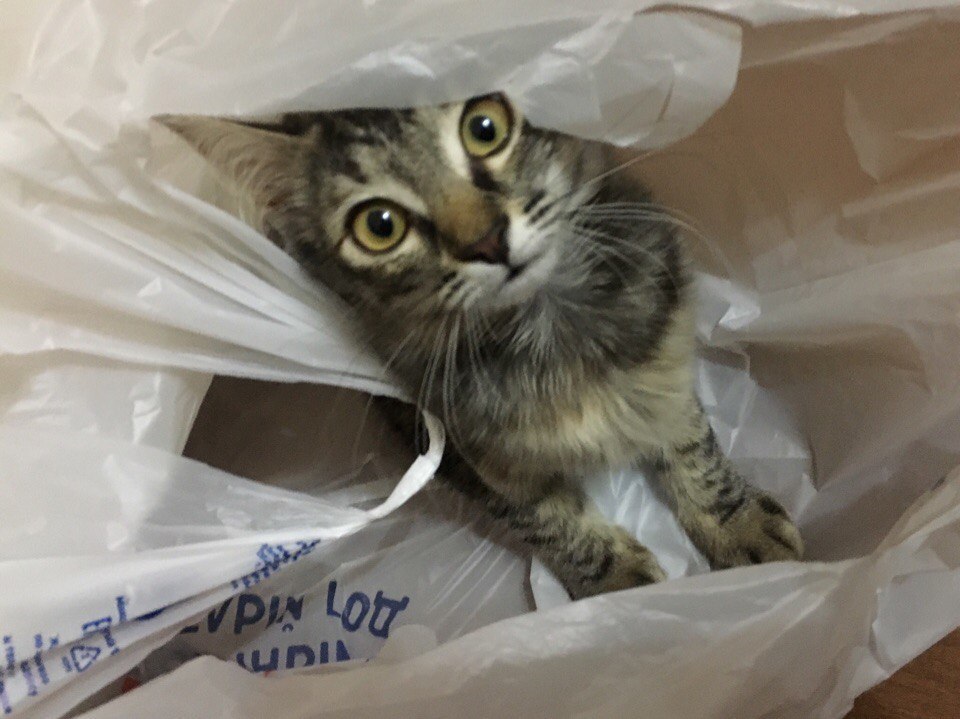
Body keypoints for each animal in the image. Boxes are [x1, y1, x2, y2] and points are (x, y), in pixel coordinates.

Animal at [159, 95, 804, 600]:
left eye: (485, 127)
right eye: (379, 225)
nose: (488, 241)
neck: (546, 330)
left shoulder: (664, 351)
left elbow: (695, 450)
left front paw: (739, 524)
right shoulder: (470, 451)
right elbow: (547, 520)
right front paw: (611, 579)